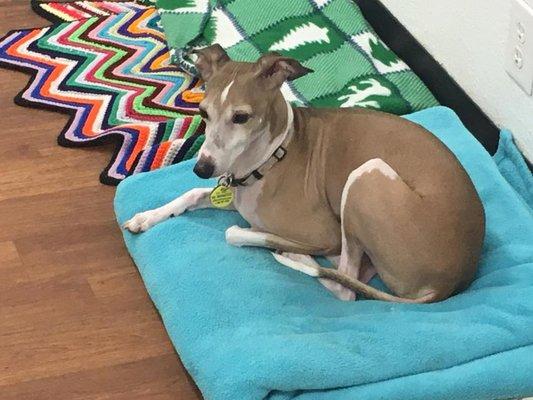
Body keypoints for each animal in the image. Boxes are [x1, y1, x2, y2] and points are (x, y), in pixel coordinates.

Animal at [122, 44, 484, 304]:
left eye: (241, 117)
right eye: (202, 112)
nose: (201, 168)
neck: (271, 158)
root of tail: (449, 283)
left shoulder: (324, 231)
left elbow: (236, 232)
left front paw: (275, 242)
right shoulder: (231, 189)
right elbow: (191, 194)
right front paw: (146, 216)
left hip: (365, 177)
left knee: (344, 285)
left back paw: (299, 256)